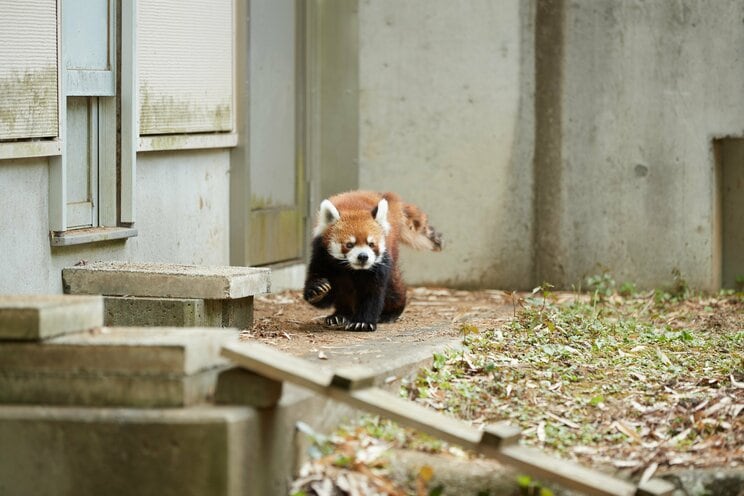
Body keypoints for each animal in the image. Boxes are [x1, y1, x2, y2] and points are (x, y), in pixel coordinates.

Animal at [302, 192, 442, 332]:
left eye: (371, 244)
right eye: (349, 245)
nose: (363, 256)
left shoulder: (378, 266)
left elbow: (372, 292)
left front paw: (362, 322)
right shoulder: (321, 254)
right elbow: (320, 284)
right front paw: (318, 290)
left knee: (393, 287)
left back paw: (391, 313)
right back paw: (341, 315)